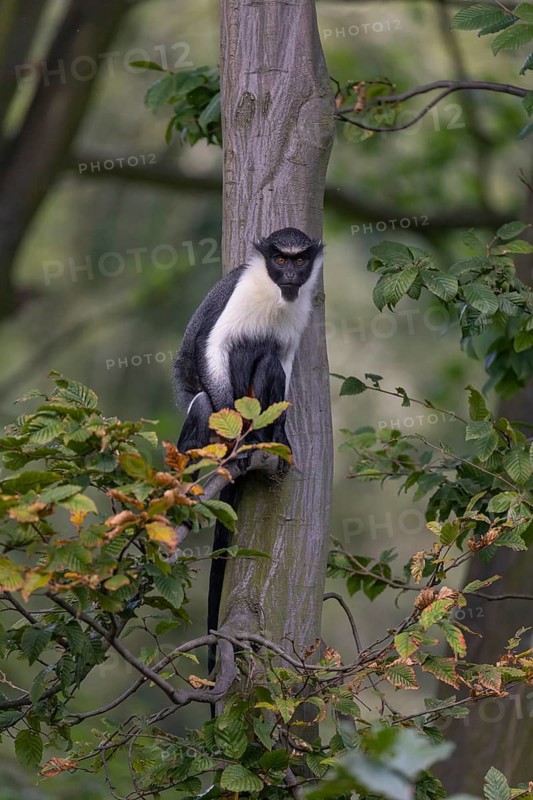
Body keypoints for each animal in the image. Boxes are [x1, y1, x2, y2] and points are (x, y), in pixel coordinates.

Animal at [173, 227, 324, 672]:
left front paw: (283, 437)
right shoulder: (238, 295)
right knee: (211, 393)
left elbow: (284, 362)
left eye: (299, 260)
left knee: (269, 357)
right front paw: (236, 445)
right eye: (280, 259)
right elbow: (213, 347)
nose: (290, 275)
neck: (275, 294)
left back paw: (263, 439)